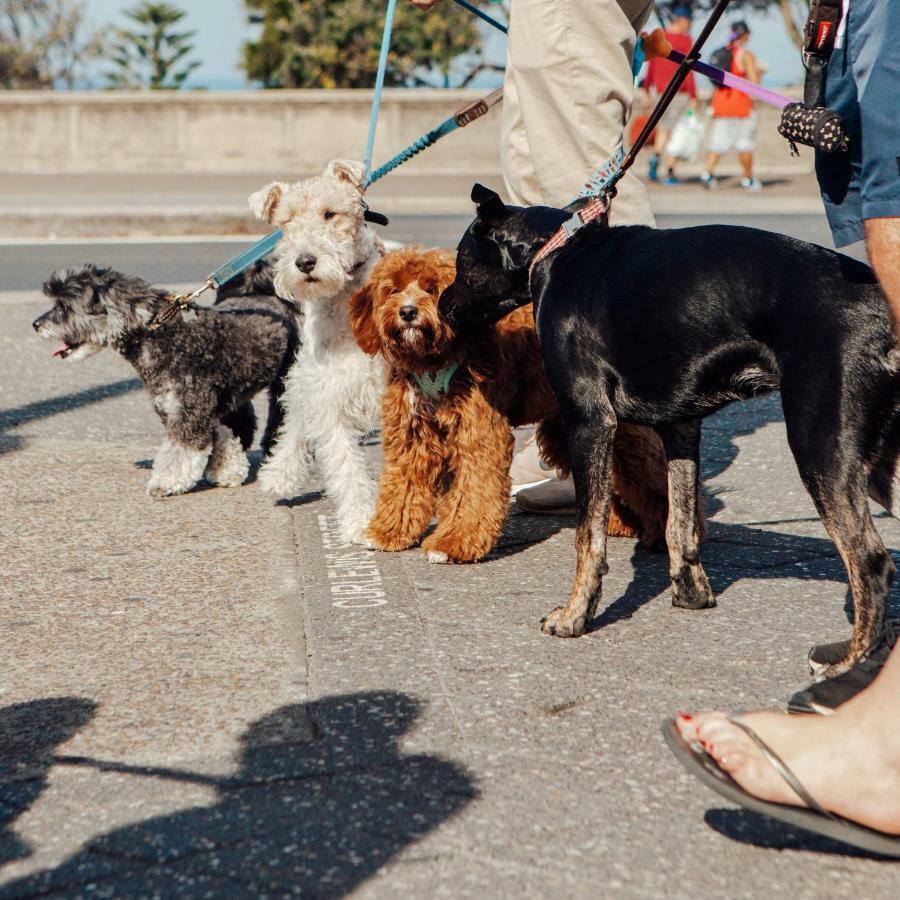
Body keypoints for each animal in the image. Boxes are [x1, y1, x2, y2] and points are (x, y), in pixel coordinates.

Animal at [348, 248, 672, 564]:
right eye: (393, 290)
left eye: (431, 289)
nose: (408, 312)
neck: (431, 360)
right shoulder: (411, 434)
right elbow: (403, 484)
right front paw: (389, 532)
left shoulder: (479, 433)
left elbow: (474, 490)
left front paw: (453, 544)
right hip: (565, 429)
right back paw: (623, 524)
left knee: (646, 475)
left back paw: (663, 533)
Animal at [442, 183, 900, 676]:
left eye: (461, 259)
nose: (441, 306)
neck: (558, 249)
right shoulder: (680, 427)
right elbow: (679, 521)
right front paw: (690, 591)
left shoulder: (589, 422)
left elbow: (589, 537)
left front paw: (574, 615)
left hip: (822, 447)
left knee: (871, 562)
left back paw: (850, 660)